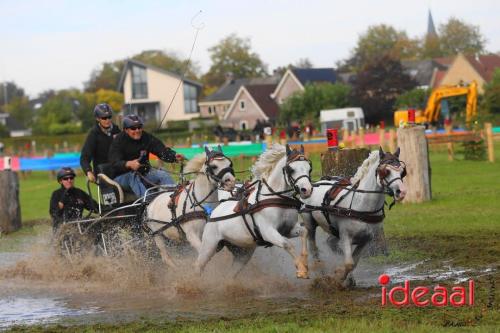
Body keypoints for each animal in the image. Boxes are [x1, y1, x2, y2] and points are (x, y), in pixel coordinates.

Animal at [195, 143, 312, 278]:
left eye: (309, 168)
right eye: (291, 169)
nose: (307, 190)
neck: (276, 198)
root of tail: (214, 212)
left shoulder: (288, 229)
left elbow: (304, 232)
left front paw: (305, 263)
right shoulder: (268, 232)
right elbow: (287, 244)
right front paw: (301, 269)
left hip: (242, 253)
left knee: (231, 273)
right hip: (209, 246)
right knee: (199, 265)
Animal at [300, 147, 406, 286]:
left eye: (402, 171)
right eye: (386, 171)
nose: (401, 192)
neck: (361, 203)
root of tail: (315, 183)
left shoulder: (365, 240)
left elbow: (354, 262)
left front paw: (347, 278)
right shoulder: (346, 236)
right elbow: (349, 263)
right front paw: (338, 277)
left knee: (331, 243)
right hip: (310, 223)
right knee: (313, 249)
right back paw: (320, 272)